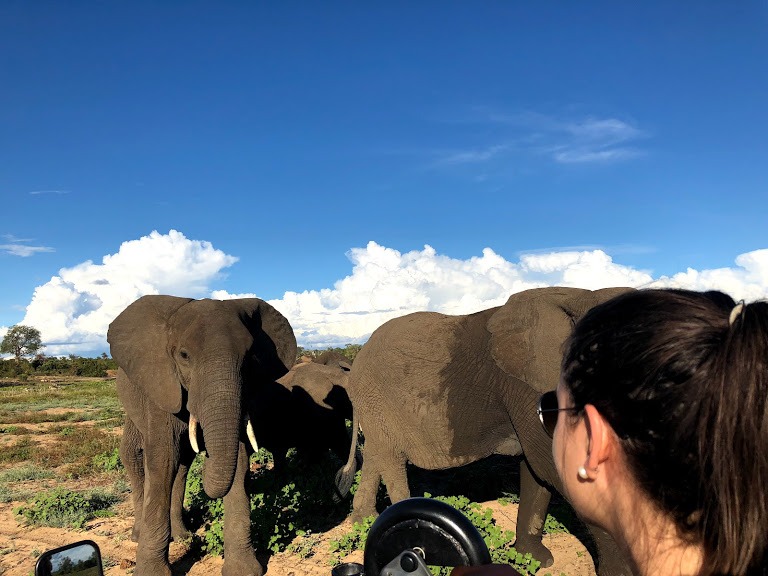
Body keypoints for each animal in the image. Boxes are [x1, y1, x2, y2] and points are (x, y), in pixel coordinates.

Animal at [108, 296, 296, 576]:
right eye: (184, 356)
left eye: (251, 357)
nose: (207, 454)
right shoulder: (162, 384)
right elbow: (162, 459)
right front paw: (152, 573)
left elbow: (238, 460)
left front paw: (243, 571)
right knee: (136, 455)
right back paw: (138, 535)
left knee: (183, 464)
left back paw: (182, 536)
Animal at [340, 286, 632, 572]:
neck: (580, 295)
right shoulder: (525, 385)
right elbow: (549, 463)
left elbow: (537, 468)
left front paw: (535, 560)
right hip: (378, 401)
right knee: (391, 461)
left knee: (376, 456)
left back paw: (363, 521)